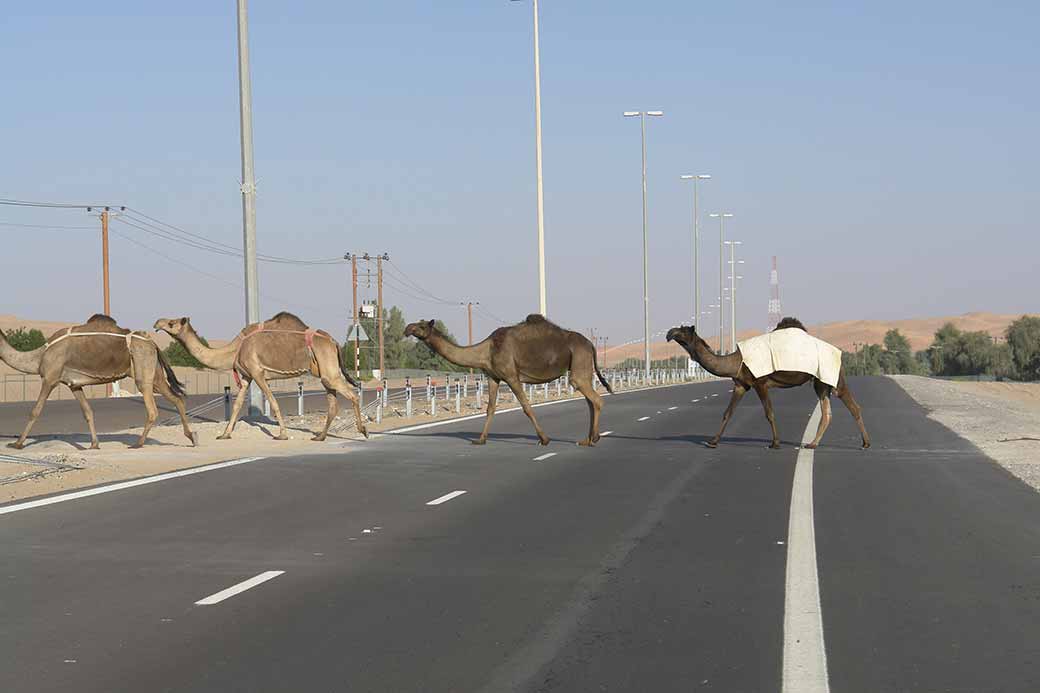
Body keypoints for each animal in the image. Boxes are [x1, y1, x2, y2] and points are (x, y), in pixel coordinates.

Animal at [0, 312, 197, 447]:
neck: (39, 356)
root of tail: (153, 343)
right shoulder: (73, 385)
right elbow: (88, 412)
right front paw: (94, 444)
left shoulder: (50, 378)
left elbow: (35, 411)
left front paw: (17, 444)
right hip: (154, 374)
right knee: (177, 398)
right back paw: (192, 437)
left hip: (143, 369)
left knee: (152, 409)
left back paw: (138, 444)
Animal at [151, 312, 368, 439]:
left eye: (171, 323)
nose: (156, 322)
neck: (235, 348)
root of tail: (333, 342)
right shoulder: (246, 376)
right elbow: (237, 405)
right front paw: (225, 434)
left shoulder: (257, 372)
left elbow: (273, 402)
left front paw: (282, 434)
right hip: (323, 372)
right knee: (333, 403)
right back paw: (319, 437)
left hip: (328, 369)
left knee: (351, 394)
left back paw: (363, 430)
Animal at [401, 314, 611, 445]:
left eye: (421, 325)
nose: (407, 328)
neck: (485, 351)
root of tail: (591, 344)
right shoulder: (493, 377)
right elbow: (490, 408)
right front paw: (480, 440)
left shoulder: (511, 375)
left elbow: (526, 407)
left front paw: (544, 439)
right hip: (582, 367)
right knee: (590, 400)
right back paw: (588, 439)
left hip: (579, 362)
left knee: (595, 399)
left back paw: (593, 439)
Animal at [665, 316, 869, 447]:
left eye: (683, 331)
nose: (669, 333)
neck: (737, 360)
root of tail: (840, 354)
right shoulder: (741, 385)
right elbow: (727, 413)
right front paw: (713, 442)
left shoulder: (760, 382)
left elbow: (769, 413)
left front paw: (775, 443)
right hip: (820, 383)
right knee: (827, 411)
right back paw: (812, 444)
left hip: (833, 376)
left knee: (853, 406)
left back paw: (866, 443)